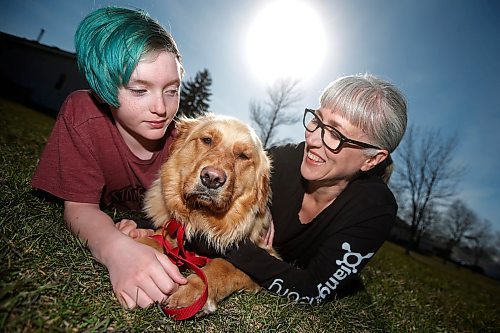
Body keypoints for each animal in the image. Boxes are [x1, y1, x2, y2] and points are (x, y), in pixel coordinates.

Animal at [142, 113, 278, 314]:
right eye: (207, 140)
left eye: (243, 156)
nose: (212, 178)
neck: (202, 218)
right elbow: (156, 238)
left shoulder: (267, 255)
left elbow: (223, 266)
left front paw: (193, 291)